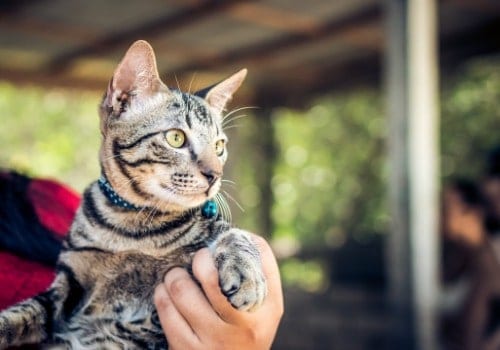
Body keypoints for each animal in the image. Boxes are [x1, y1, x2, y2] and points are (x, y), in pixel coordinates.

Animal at [0, 39, 266, 348]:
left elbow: (235, 233)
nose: (215, 175)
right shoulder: (66, 284)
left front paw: (248, 274)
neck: (131, 229)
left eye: (219, 146)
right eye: (176, 138)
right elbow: (19, 314)